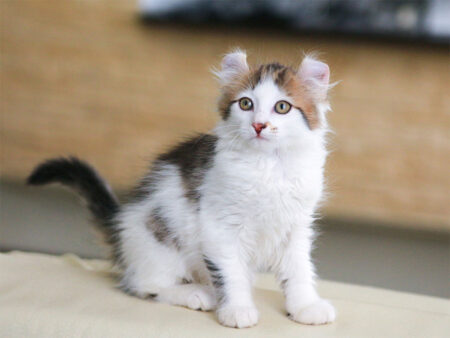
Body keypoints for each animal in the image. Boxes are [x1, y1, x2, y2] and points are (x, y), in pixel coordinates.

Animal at [28, 49, 336, 328]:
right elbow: (231, 272)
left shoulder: (296, 227)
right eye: (246, 103)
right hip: (159, 241)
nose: (259, 125)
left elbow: (299, 269)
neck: (269, 166)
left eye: (282, 107)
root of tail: (120, 227)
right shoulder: (220, 226)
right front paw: (237, 310)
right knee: (144, 286)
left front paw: (306, 306)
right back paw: (197, 294)